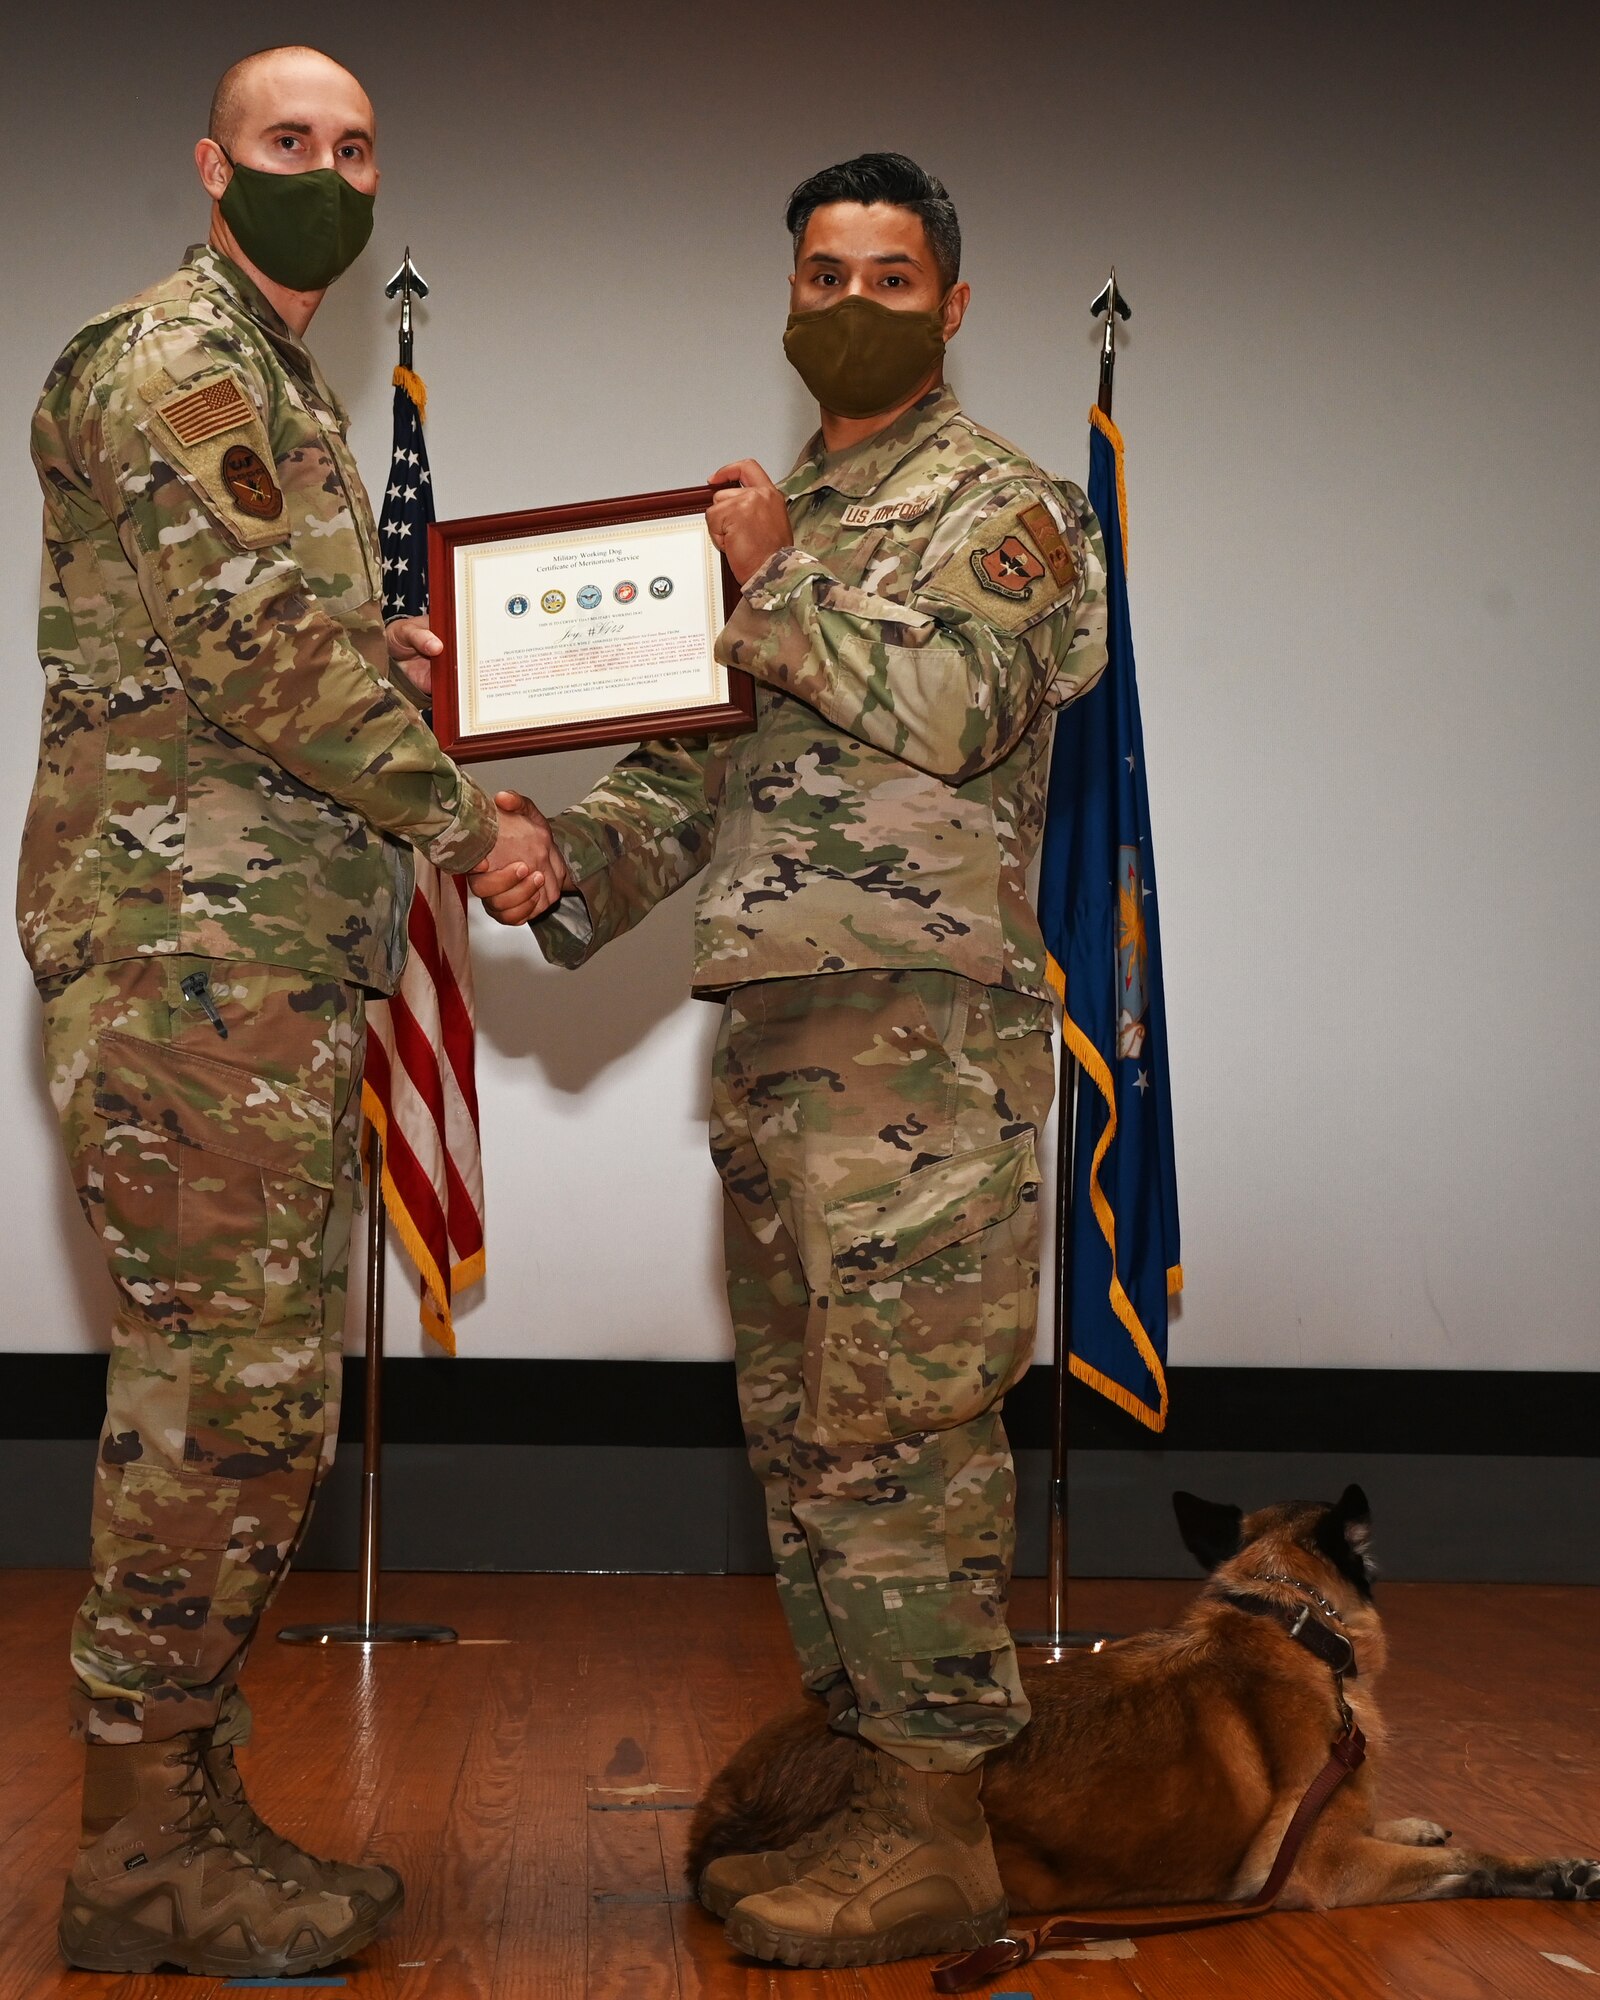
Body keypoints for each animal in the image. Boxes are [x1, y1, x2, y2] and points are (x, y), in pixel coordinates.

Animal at [692, 1496, 1600, 1912]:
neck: (1285, 1619)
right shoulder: (1315, 1863)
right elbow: (1466, 1860)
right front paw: (1550, 1870)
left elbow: (1393, 1823)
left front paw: (1413, 1821)